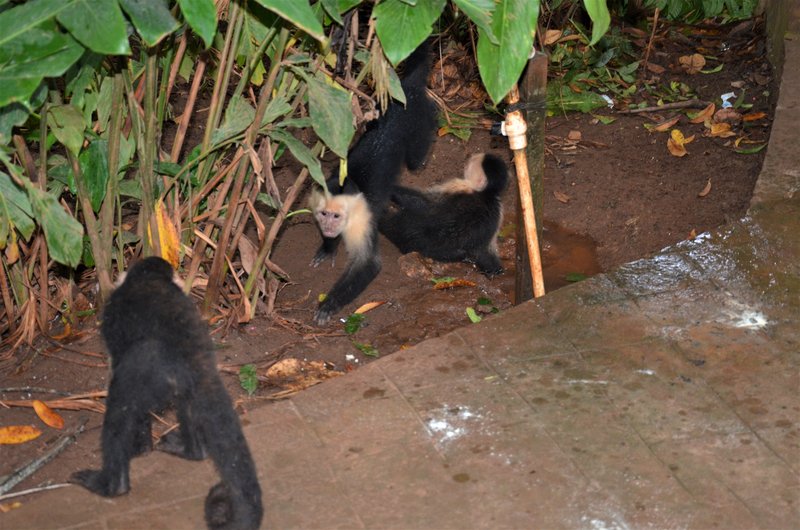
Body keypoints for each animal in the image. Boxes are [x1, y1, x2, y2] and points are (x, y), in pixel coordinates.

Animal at [69, 256, 262, 528]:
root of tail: (196, 359)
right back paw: (192, 451)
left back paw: (113, 485)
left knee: (122, 401)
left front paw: (140, 448)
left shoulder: (113, 310)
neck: (148, 279)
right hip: (182, 379)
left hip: (156, 374)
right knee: (187, 402)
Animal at [310, 41, 438, 324]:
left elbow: (368, 264)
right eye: (323, 214)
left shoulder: (362, 220)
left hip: (417, 119)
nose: (328, 226)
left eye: (336, 216)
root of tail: (405, 86)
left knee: (415, 158)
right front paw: (328, 247)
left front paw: (329, 304)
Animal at [378, 152, 510, 274]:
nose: (467, 159)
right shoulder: (498, 211)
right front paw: (495, 270)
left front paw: (390, 187)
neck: (486, 193)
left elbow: (424, 203)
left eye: (470, 164)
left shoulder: (459, 185)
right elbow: (486, 253)